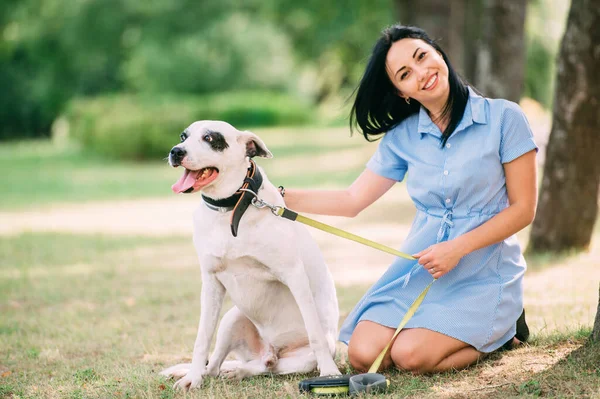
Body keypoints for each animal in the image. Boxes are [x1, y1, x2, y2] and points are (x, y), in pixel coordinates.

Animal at [161, 121, 342, 390]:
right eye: (183, 137)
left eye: (210, 138)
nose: (176, 151)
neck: (231, 209)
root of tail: (268, 349)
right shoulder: (211, 283)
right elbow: (202, 339)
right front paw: (192, 378)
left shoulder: (295, 276)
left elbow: (315, 333)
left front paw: (330, 373)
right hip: (231, 319)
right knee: (215, 366)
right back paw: (221, 371)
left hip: (299, 359)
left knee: (269, 367)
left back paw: (244, 370)